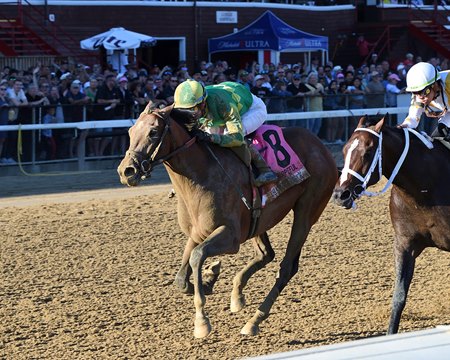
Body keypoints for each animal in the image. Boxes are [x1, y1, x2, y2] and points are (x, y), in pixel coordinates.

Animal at [118, 104, 336, 338]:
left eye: (153, 132)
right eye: (130, 132)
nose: (126, 171)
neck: (200, 176)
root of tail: (321, 147)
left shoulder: (231, 237)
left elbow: (197, 256)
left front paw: (202, 321)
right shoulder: (197, 233)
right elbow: (181, 279)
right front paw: (209, 278)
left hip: (307, 211)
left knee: (287, 267)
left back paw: (254, 321)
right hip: (259, 220)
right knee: (266, 254)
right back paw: (237, 294)